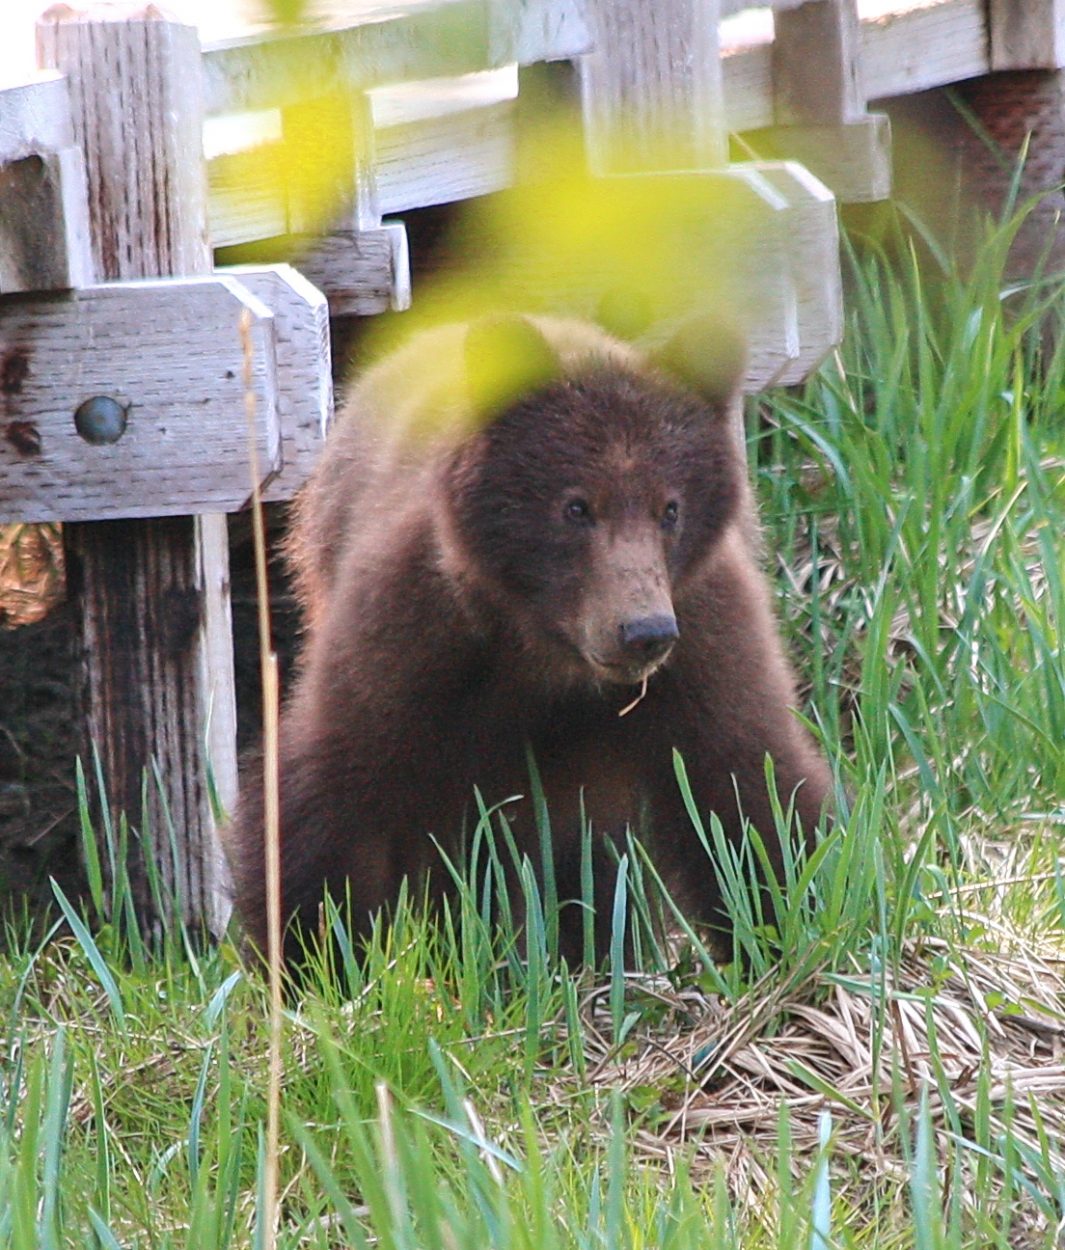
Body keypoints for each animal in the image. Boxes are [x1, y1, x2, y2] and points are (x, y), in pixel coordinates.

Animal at [224, 313, 833, 968]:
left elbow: (747, 785)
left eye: (670, 507)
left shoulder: (703, 635)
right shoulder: (414, 636)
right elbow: (333, 790)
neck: (547, 654)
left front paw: (796, 920)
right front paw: (318, 953)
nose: (643, 631)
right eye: (576, 506)